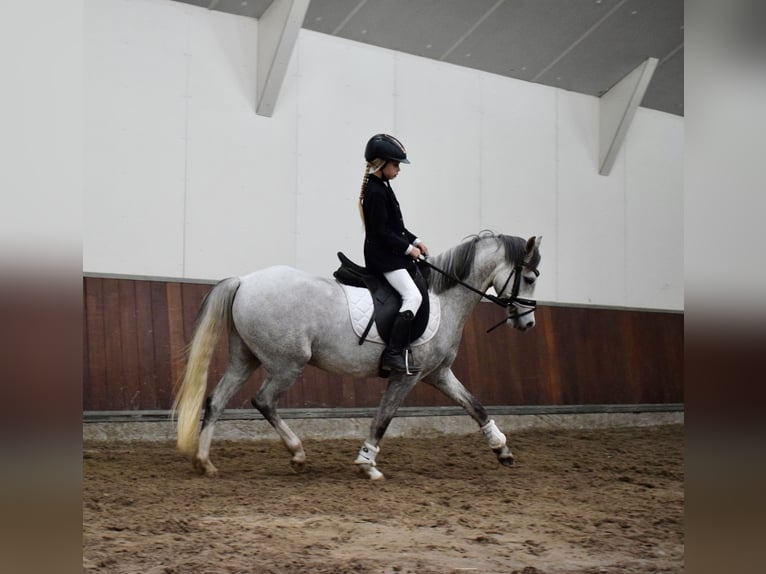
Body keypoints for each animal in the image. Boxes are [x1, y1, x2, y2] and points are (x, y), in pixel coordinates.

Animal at [172, 231, 542, 480]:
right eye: (528, 277)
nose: (528, 323)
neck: (444, 298)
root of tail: (245, 281)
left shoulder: (439, 374)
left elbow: (475, 406)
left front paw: (502, 450)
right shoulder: (406, 376)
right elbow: (383, 418)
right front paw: (367, 464)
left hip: (245, 358)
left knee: (216, 401)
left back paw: (205, 463)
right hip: (287, 364)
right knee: (263, 401)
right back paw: (297, 454)